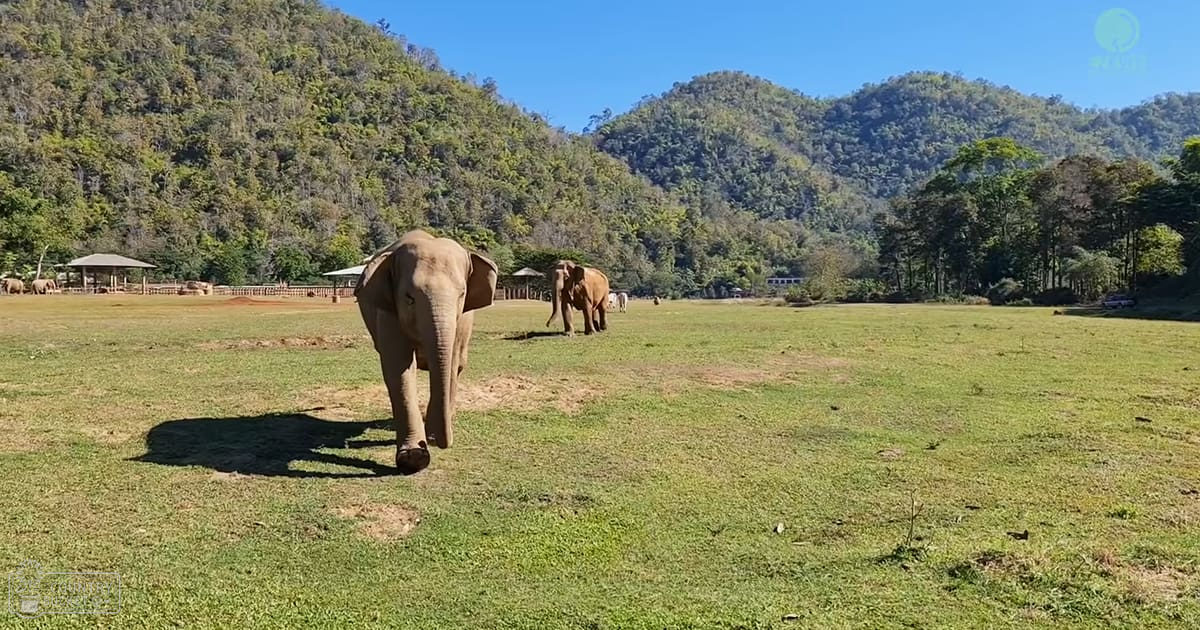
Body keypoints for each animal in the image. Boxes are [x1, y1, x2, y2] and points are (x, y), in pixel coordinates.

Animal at [355, 230, 498, 474]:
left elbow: (450, 363)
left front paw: (430, 436)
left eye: (462, 294)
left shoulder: (460, 322)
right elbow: (399, 369)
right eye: (409, 297)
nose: (435, 441)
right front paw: (413, 457)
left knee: (459, 364)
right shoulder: (389, 313)